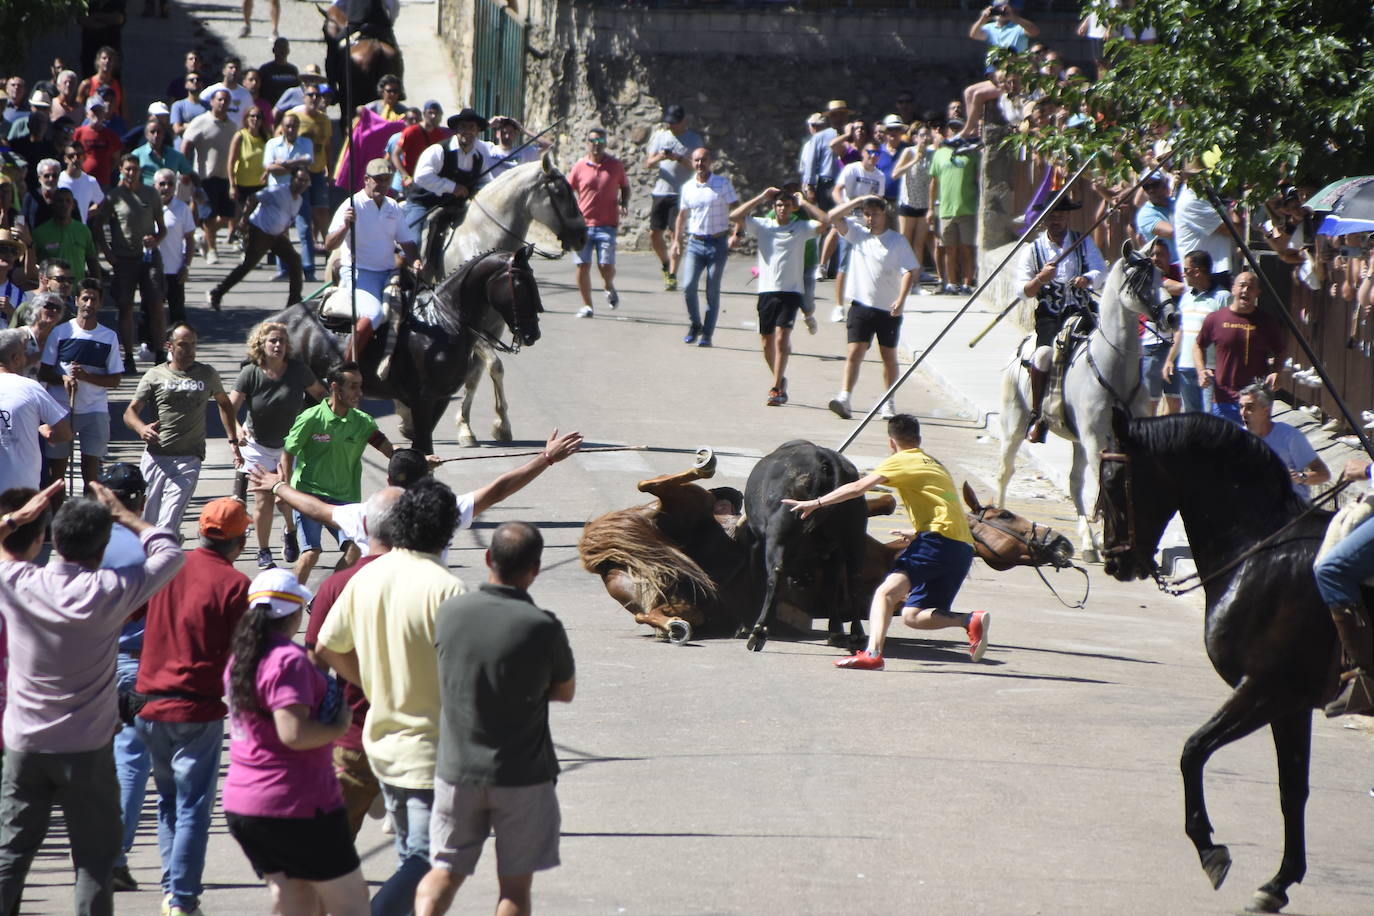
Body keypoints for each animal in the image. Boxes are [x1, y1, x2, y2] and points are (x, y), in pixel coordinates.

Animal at [425, 152, 582, 444]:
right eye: (560, 192)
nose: (583, 235)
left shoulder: (494, 325)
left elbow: (476, 373)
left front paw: (474, 424)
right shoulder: (474, 328)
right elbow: (493, 365)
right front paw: (489, 425)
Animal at [994, 240, 1176, 563]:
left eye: (1160, 275)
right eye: (1140, 282)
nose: (1171, 317)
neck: (1114, 369)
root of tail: (1020, 351)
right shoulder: (1095, 439)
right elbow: (1105, 486)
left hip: (1077, 440)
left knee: (1075, 484)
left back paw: (1089, 542)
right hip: (1014, 423)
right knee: (1006, 470)